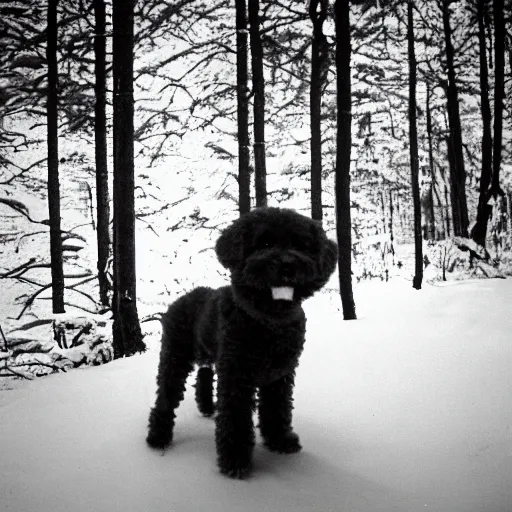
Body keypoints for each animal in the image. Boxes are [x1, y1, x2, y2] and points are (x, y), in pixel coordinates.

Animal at [146, 206, 338, 478]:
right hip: (175, 357)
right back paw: (158, 437)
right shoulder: (237, 375)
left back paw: (207, 408)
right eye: (264, 242)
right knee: (165, 396)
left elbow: (277, 409)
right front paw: (235, 461)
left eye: (300, 245)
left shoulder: (280, 375)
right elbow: (235, 418)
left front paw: (280, 440)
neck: (267, 321)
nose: (287, 266)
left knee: (203, 375)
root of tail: (181, 299)